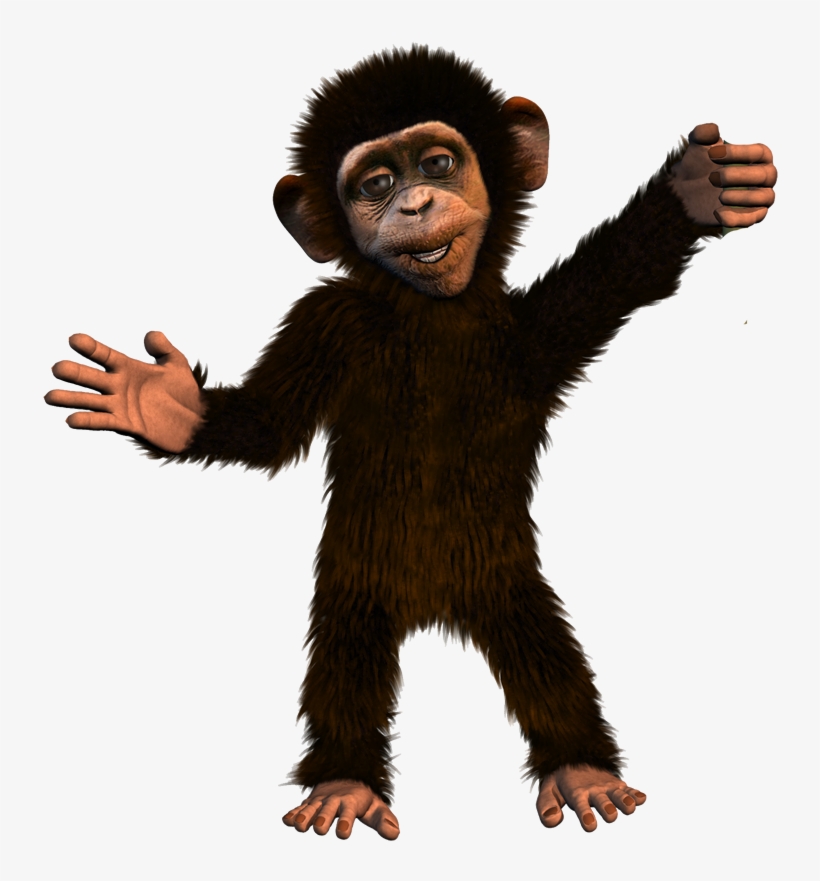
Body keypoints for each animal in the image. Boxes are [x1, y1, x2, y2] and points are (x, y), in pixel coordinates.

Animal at [45, 46, 776, 840]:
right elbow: (269, 426)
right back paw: (344, 780)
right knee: (345, 651)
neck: (431, 317)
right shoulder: (324, 322)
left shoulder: (529, 334)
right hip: (358, 580)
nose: (416, 204)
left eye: (437, 163)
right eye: (375, 184)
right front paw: (162, 402)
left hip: (506, 583)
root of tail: (436, 609)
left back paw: (580, 766)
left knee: (544, 649)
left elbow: (612, 277)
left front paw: (698, 187)